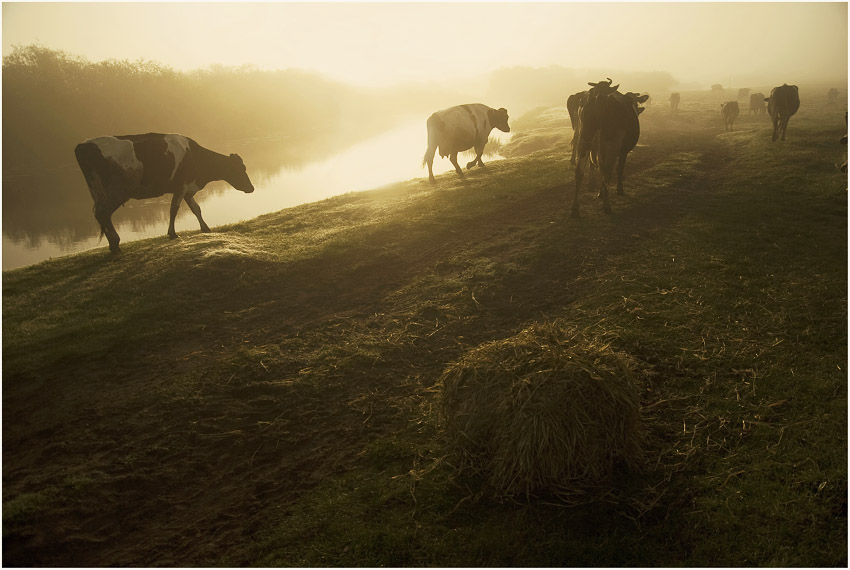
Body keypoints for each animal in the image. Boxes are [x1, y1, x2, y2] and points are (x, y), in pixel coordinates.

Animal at [74, 133, 253, 253]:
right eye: (241, 169)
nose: (251, 188)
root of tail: (83, 145)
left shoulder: (188, 189)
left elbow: (196, 209)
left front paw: (206, 228)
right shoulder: (181, 187)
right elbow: (173, 210)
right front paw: (173, 234)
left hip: (100, 193)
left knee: (100, 214)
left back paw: (113, 245)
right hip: (117, 191)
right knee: (103, 213)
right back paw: (115, 243)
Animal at [568, 77, 648, 215]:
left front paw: (600, 192)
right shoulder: (623, 151)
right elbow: (619, 168)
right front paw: (618, 189)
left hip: (585, 137)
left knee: (579, 170)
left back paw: (575, 208)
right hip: (612, 141)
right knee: (607, 169)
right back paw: (607, 205)